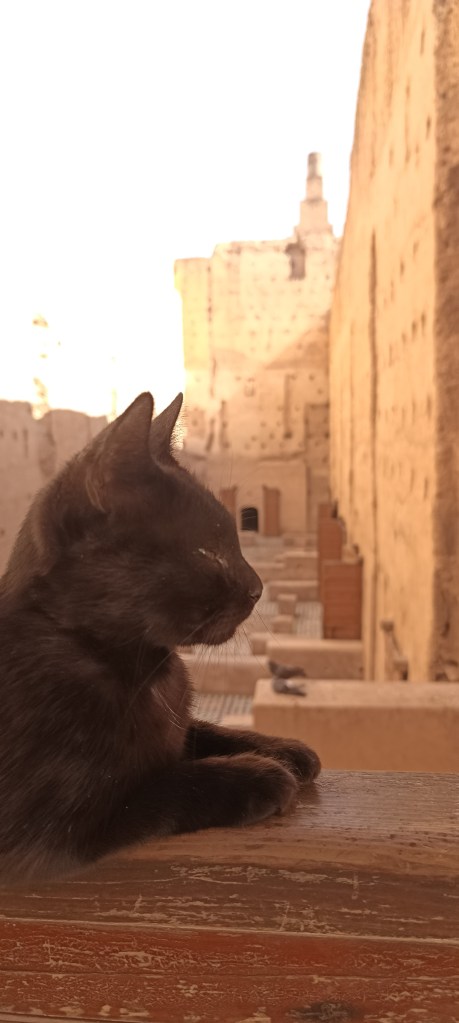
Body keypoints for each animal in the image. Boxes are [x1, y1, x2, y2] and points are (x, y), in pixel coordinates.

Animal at [0, 391, 320, 882]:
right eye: (207, 551)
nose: (257, 586)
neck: (151, 673)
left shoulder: (180, 727)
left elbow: (206, 731)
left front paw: (283, 749)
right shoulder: (52, 826)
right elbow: (165, 783)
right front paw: (262, 774)